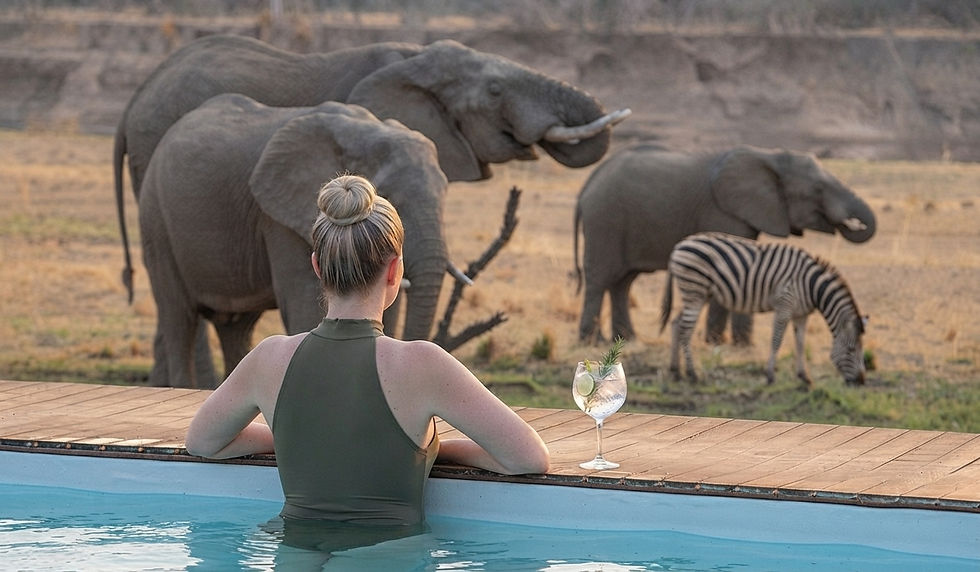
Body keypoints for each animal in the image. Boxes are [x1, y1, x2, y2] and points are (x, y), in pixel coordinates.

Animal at [138, 95, 454, 388]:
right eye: (388, 195)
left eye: (445, 191)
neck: (363, 130)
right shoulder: (280, 219)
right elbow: (306, 305)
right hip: (156, 217)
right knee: (179, 319)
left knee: (236, 328)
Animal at [574, 144, 876, 344]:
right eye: (817, 190)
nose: (853, 223)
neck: (770, 155)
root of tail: (587, 185)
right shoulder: (723, 212)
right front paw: (721, 344)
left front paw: (740, 346)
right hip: (605, 220)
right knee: (600, 279)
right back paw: (590, 341)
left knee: (622, 283)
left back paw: (627, 340)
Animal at [660, 232, 867, 386]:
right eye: (851, 350)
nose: (861, 381)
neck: (812, 286)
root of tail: (679, 245)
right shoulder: (784, 306)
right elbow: (776, 340)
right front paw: (770, 376)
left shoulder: (801, 314)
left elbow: (800, 343)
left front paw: (804, 377)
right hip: (694, 290)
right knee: (686, 330)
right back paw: (692, 374)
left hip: (699, 294)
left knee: (676, 323)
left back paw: (675, 371)